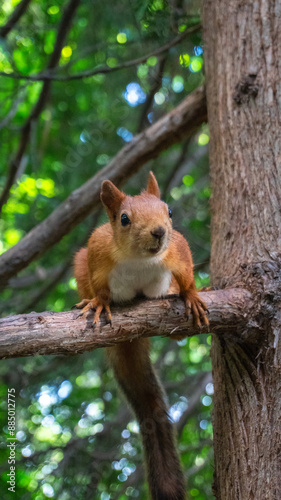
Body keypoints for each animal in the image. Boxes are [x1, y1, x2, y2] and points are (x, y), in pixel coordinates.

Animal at [73, 173, 207, 500]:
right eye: (124, 219)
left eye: (168, 211)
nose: (159, 232)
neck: (139, 259)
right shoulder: (97, 252)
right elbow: (100, 287)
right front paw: (99, 302)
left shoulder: (177, 249)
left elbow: (187, 273)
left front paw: (191, 294)